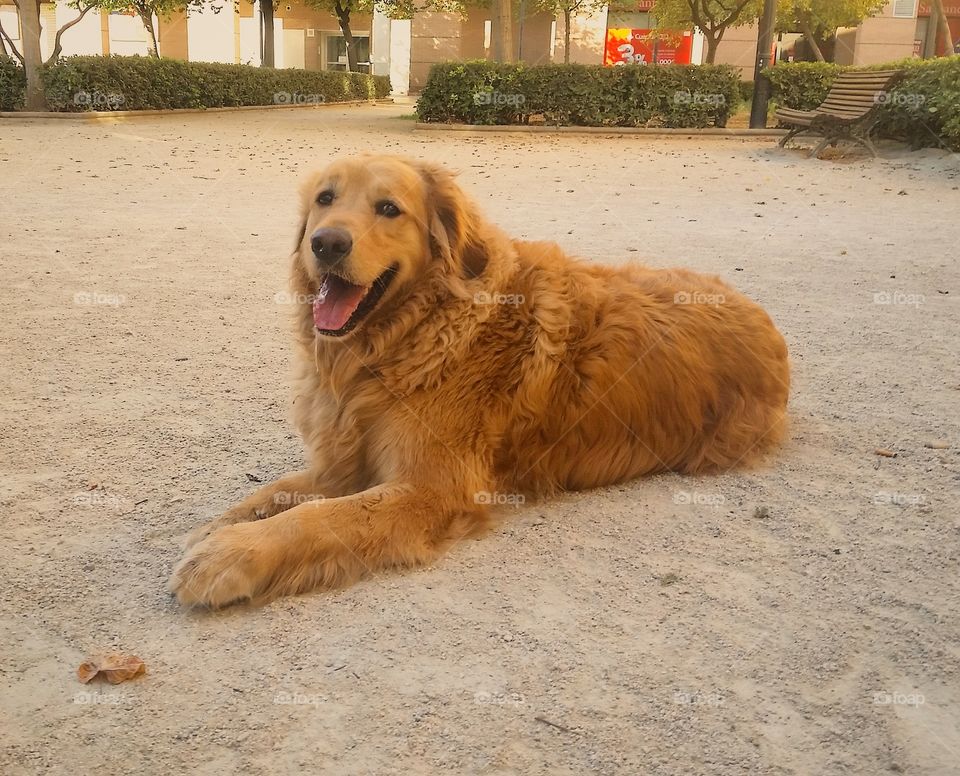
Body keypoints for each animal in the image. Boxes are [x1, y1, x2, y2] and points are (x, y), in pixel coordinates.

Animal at [169, 155, 792, 608]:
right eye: (325, 199)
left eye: (388, 208)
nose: (326, 243)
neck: (402, 340)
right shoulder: (344, 462)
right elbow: (275, 493)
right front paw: (218, 528)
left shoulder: (428, 489)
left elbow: (315, 518)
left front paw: (229, 557)